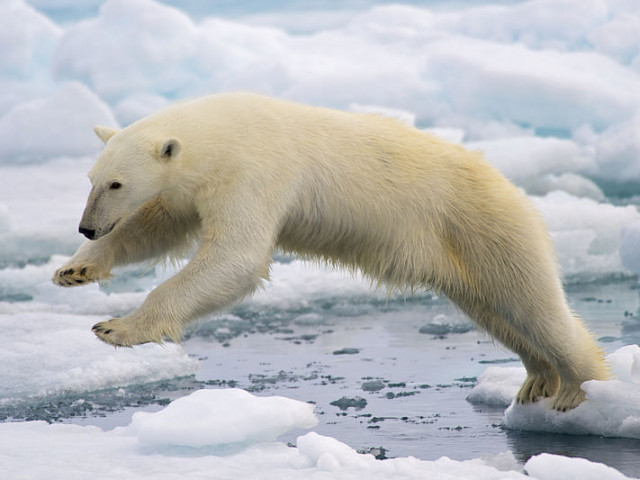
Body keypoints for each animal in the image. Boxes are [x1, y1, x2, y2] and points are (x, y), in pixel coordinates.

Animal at [52, 92, 608, 410]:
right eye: (92, 179)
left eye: (117, 183)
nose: (86, 227)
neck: (221, 133)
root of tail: (512, 188)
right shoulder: (195, 186)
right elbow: (158, 226)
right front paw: (74, 270)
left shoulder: (255, 171)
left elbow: (236, 256)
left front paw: (116, 327)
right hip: (461, 255)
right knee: (496, 312)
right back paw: (537, 379)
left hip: (483, 226)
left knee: (533, 304)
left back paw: (578, 389)